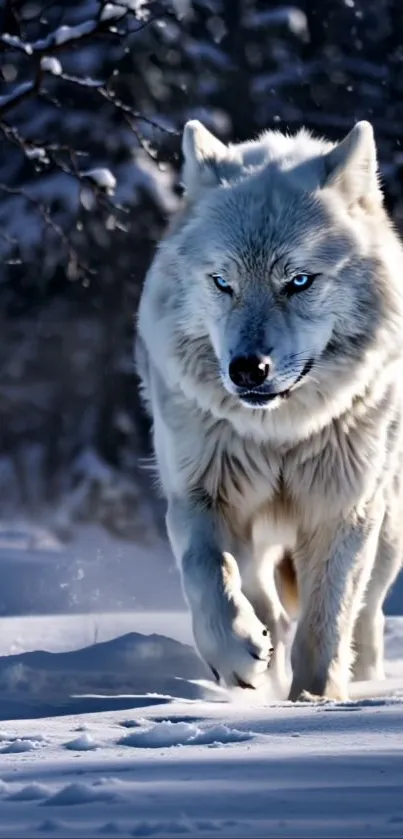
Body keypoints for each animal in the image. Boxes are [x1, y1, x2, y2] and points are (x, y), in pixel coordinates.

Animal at [137, 120, 403, 704]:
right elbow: (208, 574)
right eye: (222, 282)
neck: (280, 432)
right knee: (267, 600)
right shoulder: (200, 494)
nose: (246, 371)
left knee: (367, 614)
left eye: (298, 281)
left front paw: (314, 700)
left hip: (389, 528)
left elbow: (327, 620)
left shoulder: (342, 508)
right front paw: (238, 654)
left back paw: (364, 679)